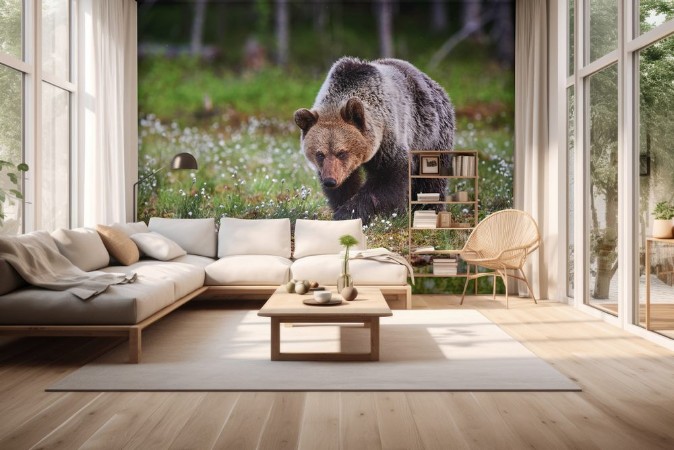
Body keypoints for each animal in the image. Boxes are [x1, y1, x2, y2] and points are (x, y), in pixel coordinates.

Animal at [294, 56, 455, 223]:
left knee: (431, 180)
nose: (330, 181)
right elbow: (346, 186)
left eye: (342, 153)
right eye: (320, 154)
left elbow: (387, 178)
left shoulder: (389, 138)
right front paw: (343, 206)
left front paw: (348, 212)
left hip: (430, 135)